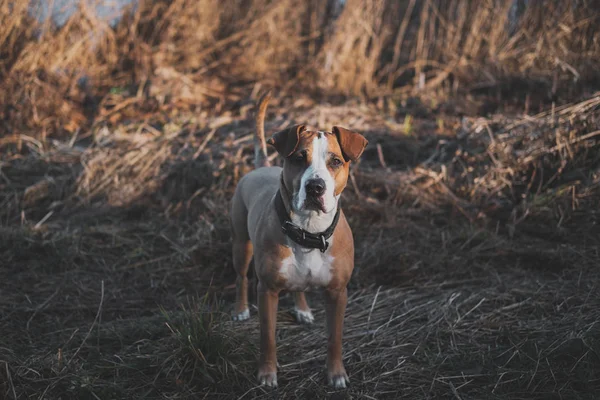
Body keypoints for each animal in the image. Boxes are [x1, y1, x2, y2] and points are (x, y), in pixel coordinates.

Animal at [230, 92, 368, 390]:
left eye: (335, 161)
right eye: (298, 157)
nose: (315, 187)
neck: (309, 231)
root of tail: (262, 167)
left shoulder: (338, 292)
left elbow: (335, 338)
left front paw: (336, 374)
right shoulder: (267, 290)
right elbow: (267, 337)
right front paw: (267, 373)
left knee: (298, 286)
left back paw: (302, 309)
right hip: (241, 243)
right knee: (241, 276)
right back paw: (241, 309)